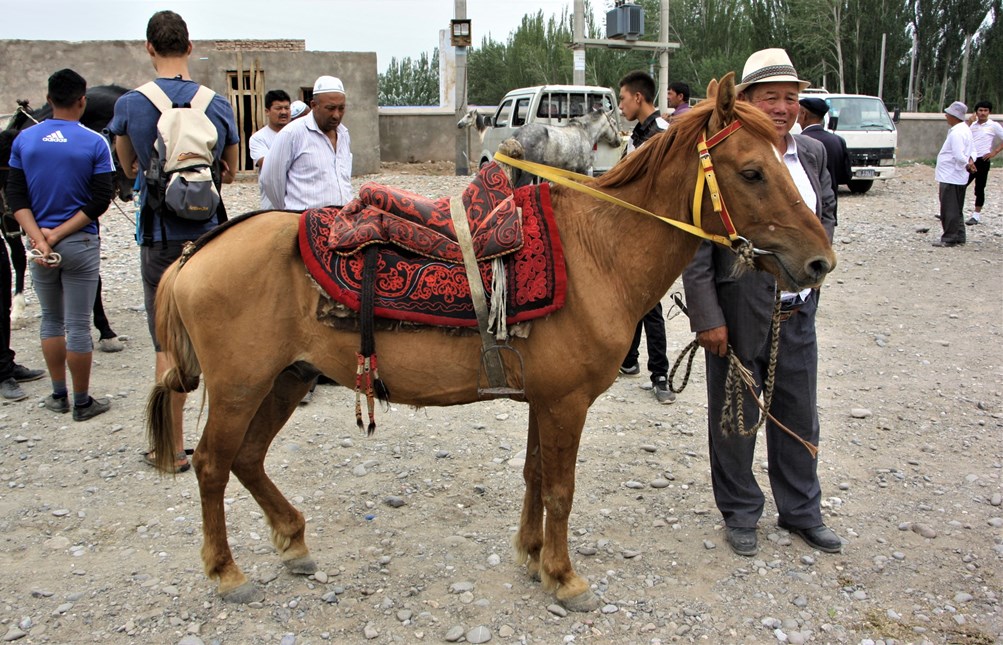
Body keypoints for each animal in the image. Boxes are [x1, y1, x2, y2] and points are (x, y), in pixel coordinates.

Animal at [145, 75, 834, 609]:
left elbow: (534, 476)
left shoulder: (545, 399)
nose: (818, 262)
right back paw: (227, 572)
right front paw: (564, 576)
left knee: (247, 459)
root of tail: (197, 251)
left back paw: (293, 541)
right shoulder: (566, 403)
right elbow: (559, 488)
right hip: (240, 387)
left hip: (286, 378)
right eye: (752, 171)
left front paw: (531, 555)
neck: (597, 253)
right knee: (212, 464)